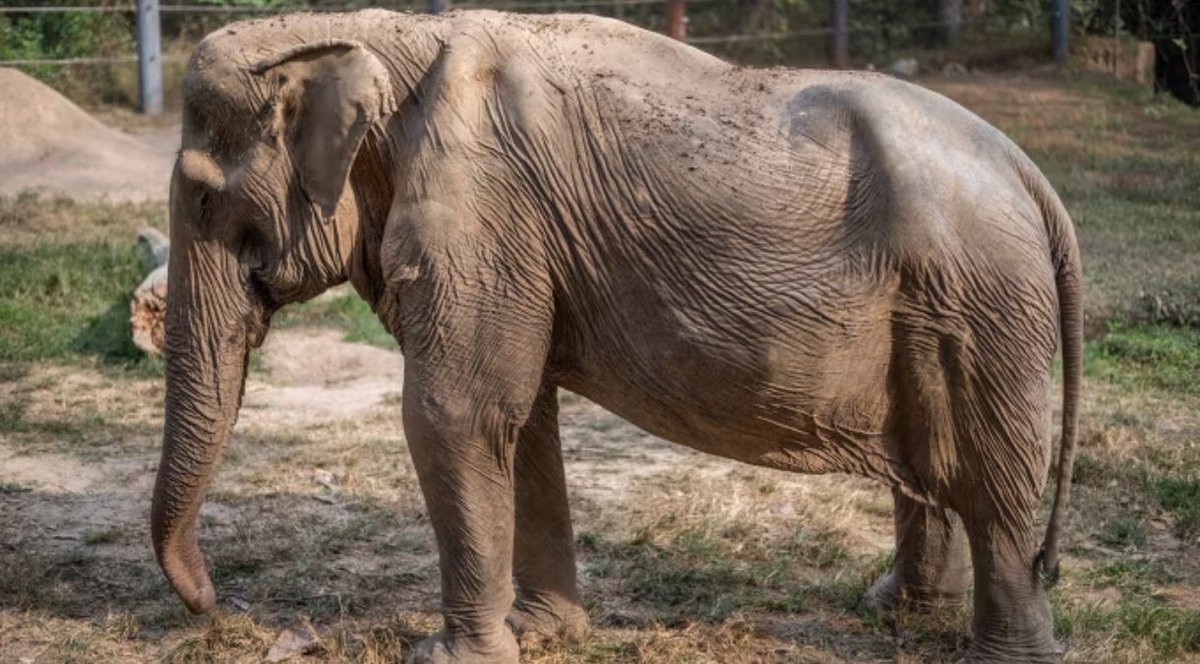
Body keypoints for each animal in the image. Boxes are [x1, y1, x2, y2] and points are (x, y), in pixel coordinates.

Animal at [151, 9, 1082, 664]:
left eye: (202, 200)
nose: (217, 605)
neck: (378, 36)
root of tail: (1034, 178)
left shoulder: (483, 212)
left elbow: (455, 414)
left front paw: (446, 655)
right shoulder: (517, 240)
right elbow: (521, 419)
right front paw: (545, 634)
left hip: (983, 306)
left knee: (992, 481)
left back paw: (999, 653)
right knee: (938, 466)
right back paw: (891, 610)